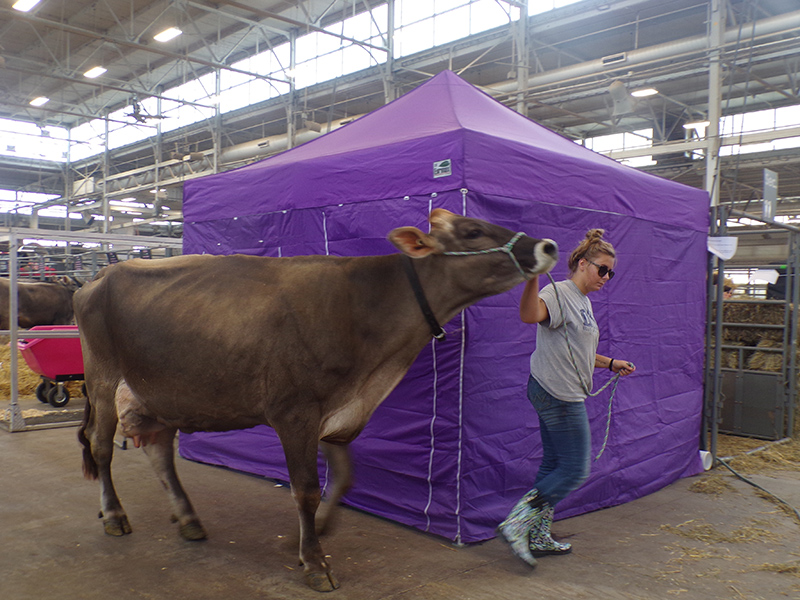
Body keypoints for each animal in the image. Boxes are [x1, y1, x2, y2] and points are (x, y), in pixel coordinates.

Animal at [75, 210, 556, 592]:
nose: (547, 245)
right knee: (101, 447)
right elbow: (305, 488)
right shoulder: (296, 412)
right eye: (473, 231)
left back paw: (189, 519)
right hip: (102, 379)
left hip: (160, 391)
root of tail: (98, 276)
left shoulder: (338, 413)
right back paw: (114, 515)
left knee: (159, 450)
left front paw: (315, 534)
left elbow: (342, 479)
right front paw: (315, 562)